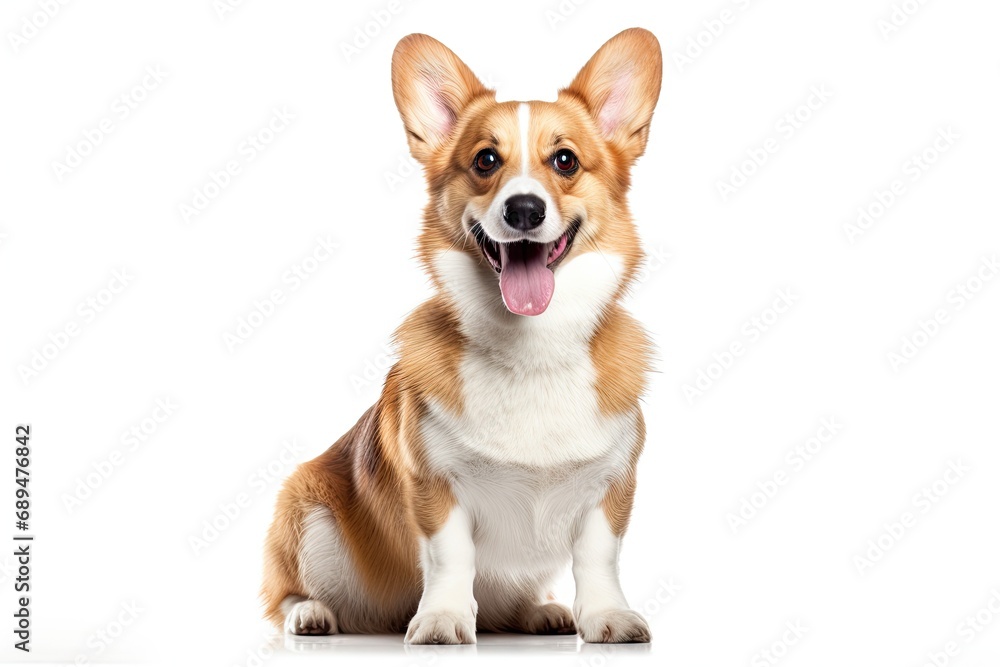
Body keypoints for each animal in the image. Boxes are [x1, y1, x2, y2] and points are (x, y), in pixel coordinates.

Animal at [262, 28, 660, 644]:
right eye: (485, 160)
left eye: (565, 160)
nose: (524, 210)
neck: (531, 349)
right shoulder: (435, 485)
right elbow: (452, 558)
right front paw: (443, 619)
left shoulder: (610, 485)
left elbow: (598, 558)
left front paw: (607, 618)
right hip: (304, 513)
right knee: (289, 591)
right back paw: (312, 614)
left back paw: (539, 612)